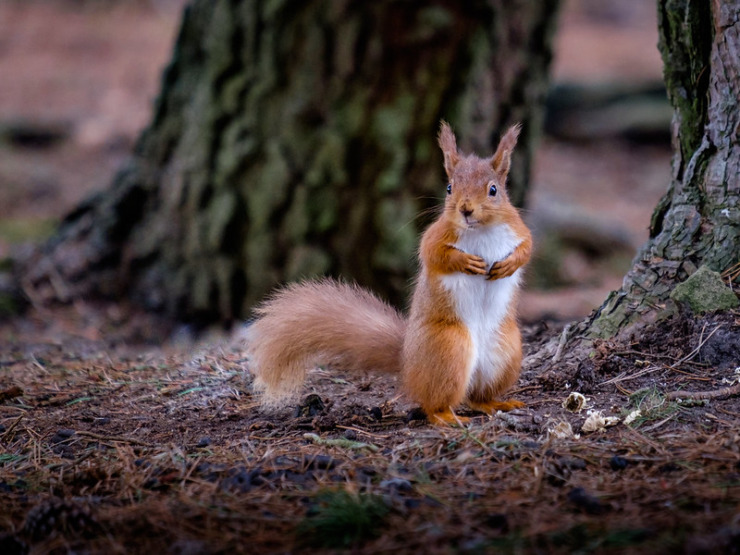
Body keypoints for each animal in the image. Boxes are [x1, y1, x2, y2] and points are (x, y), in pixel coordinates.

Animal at [247, 121, 532, 426]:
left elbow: (527, 248)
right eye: (449, 187)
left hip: (506, 352)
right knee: (434, 402)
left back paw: (495, 403)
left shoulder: (518, 228)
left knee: (477, 397)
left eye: (493, 190)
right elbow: (433, 254)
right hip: (449, 350)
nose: (465, 210)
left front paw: (509, 265)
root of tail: (408, 363)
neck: (480, 229)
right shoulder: (436, 234)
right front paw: (465, 261)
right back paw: (446, 416)